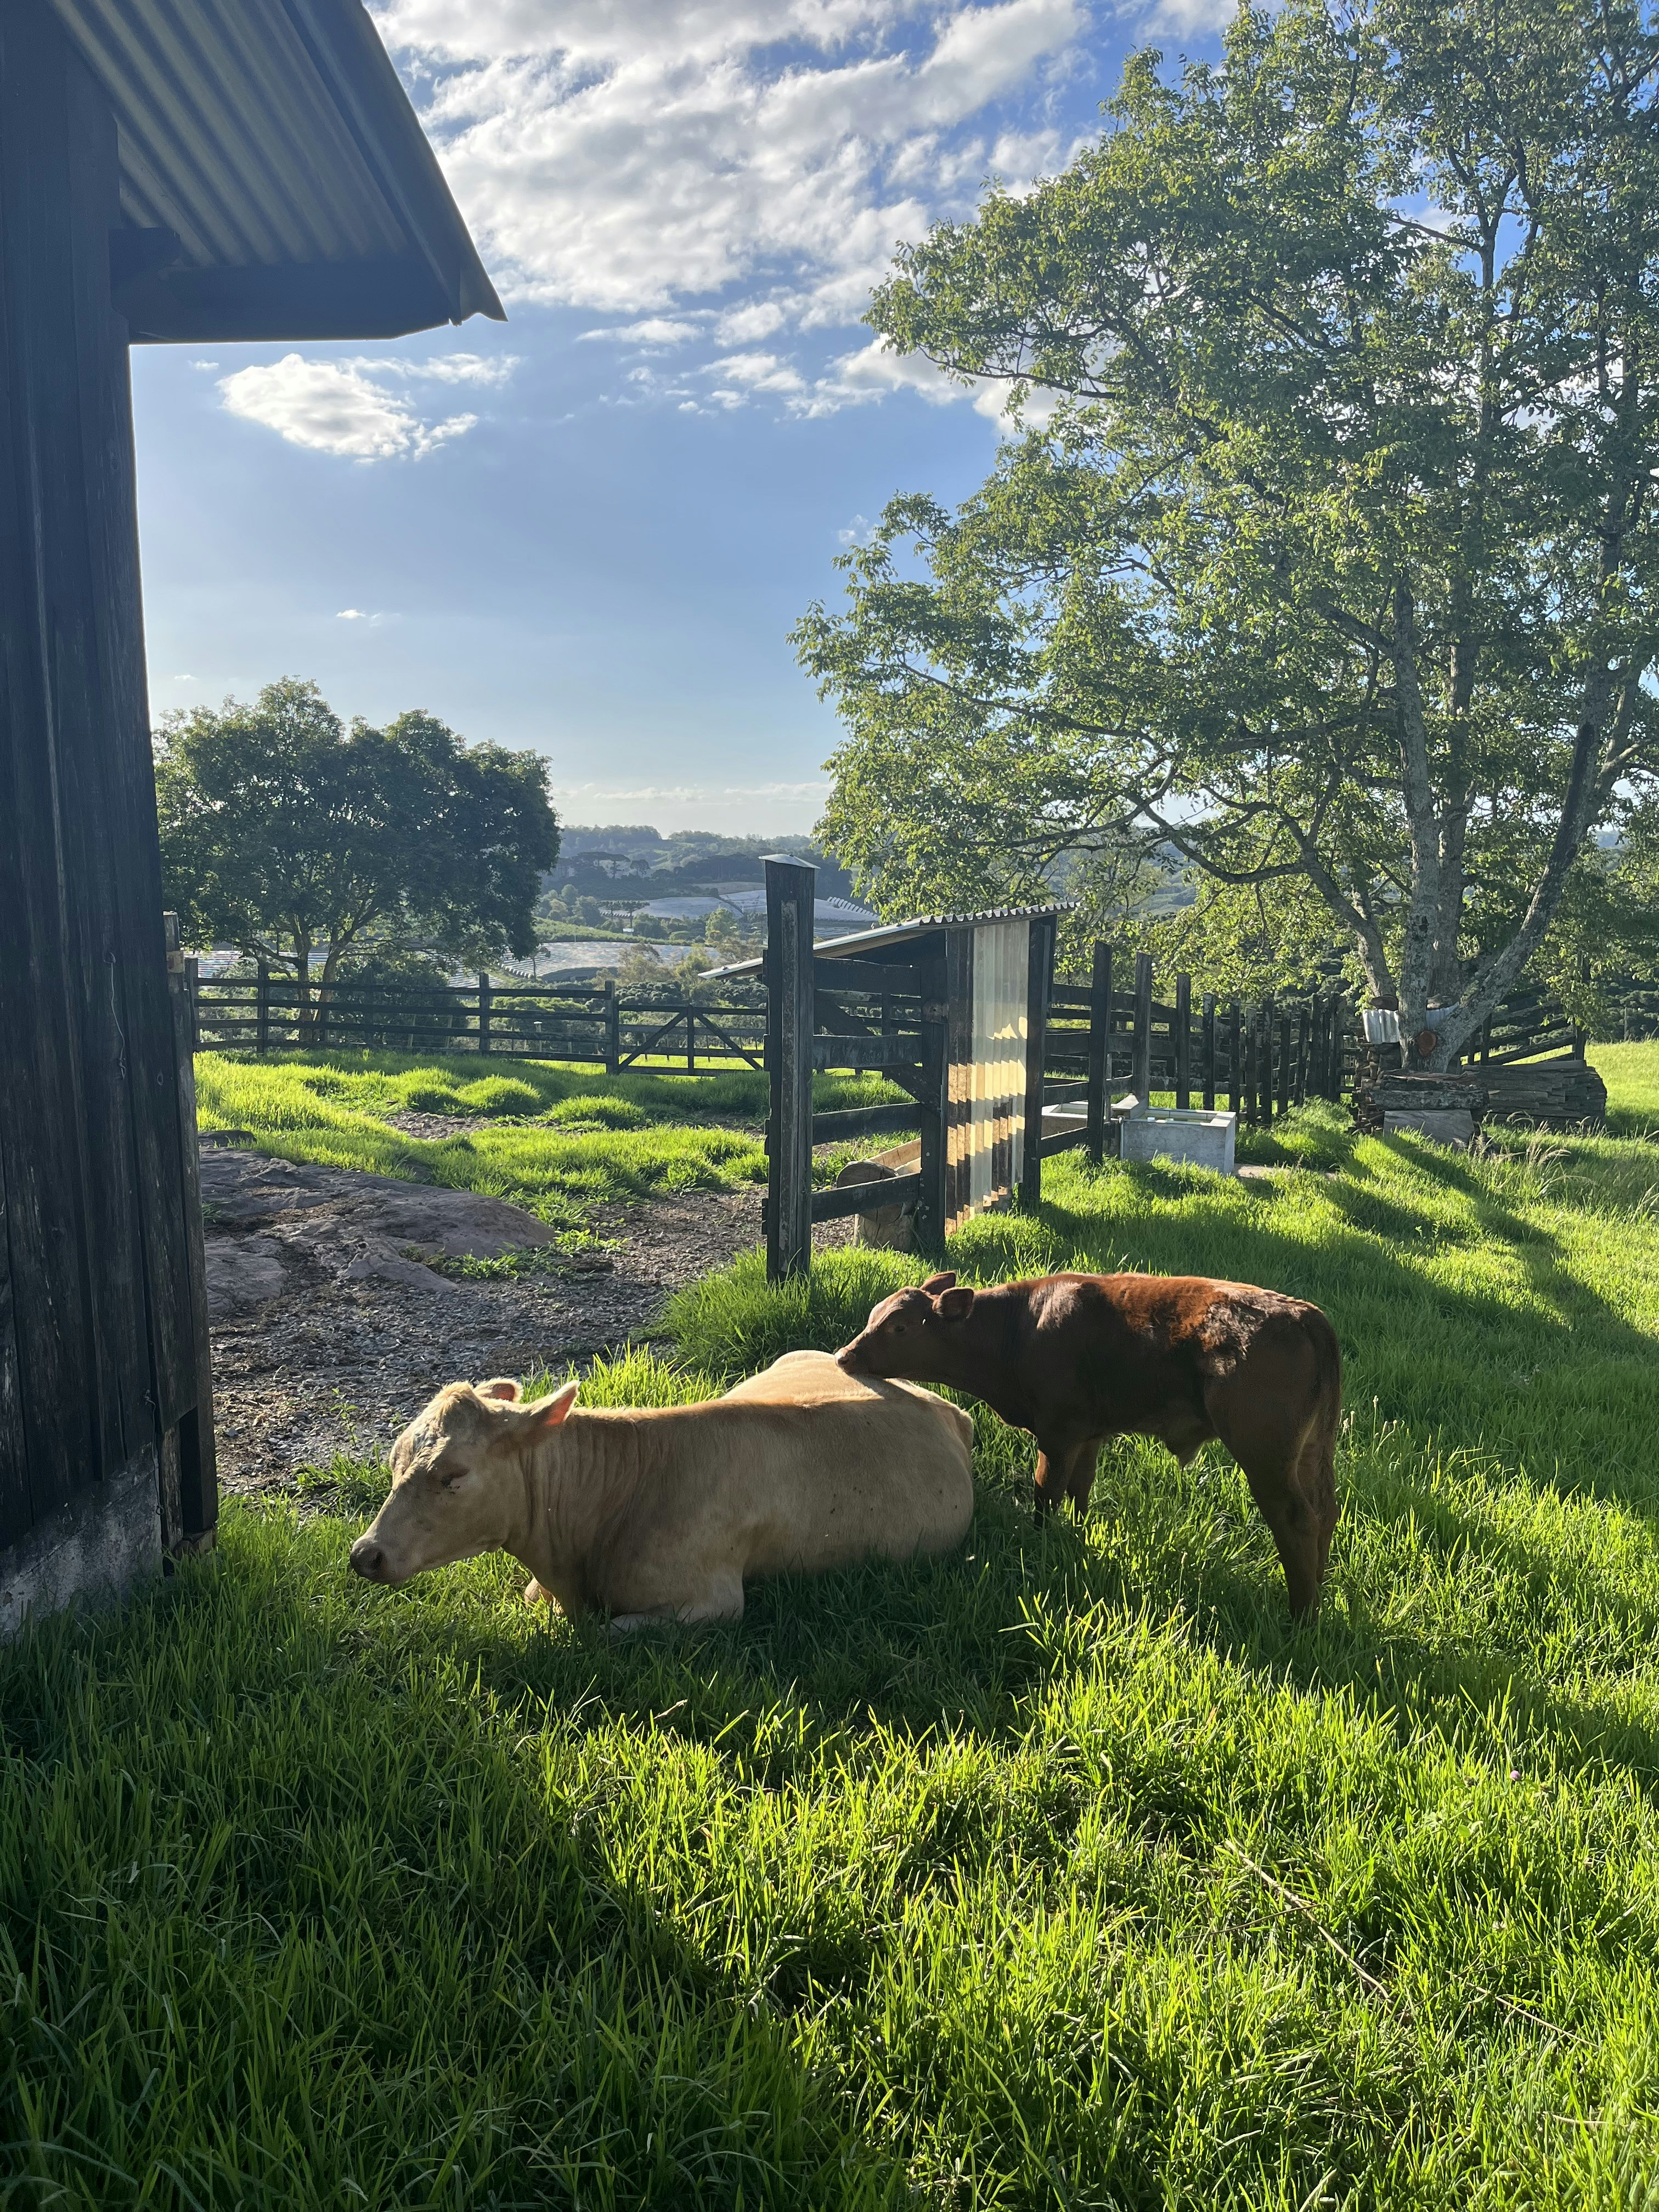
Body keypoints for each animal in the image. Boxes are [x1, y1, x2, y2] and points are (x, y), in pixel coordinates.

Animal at [347, 1349, 974, 1628]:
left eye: (452, 1476)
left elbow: (611, 1631)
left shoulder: (713, 1602)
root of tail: (941, 1402)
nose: (364, 1555)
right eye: (394, 1460)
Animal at [836, 1271, 1341, 1619]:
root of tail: (1304, 1314)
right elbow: (1081, 1490)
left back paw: (1301, 1616)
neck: (1019, 1329)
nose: (844, 1356)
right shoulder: (1090, 1434)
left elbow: (1046, 1492)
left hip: (1265, 1455)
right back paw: (1317, 1593)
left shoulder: (1058, 1432)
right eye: (874, 1316)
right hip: (1312, 1452)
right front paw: (1078, 1537)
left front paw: (1041, 1544)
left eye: (900, 1328)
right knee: (1325, 1512)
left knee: (1296, 1519)